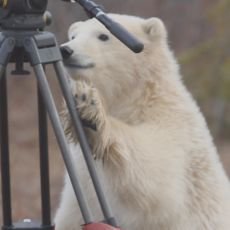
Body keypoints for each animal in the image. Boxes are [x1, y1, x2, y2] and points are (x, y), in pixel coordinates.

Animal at [54, 14, 230, 230]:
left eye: (103, 36)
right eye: (73, 35)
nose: (66, 50)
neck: (136, 99)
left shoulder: (174, 125)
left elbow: (154, 176)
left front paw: (89, 110)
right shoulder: (81, 179)